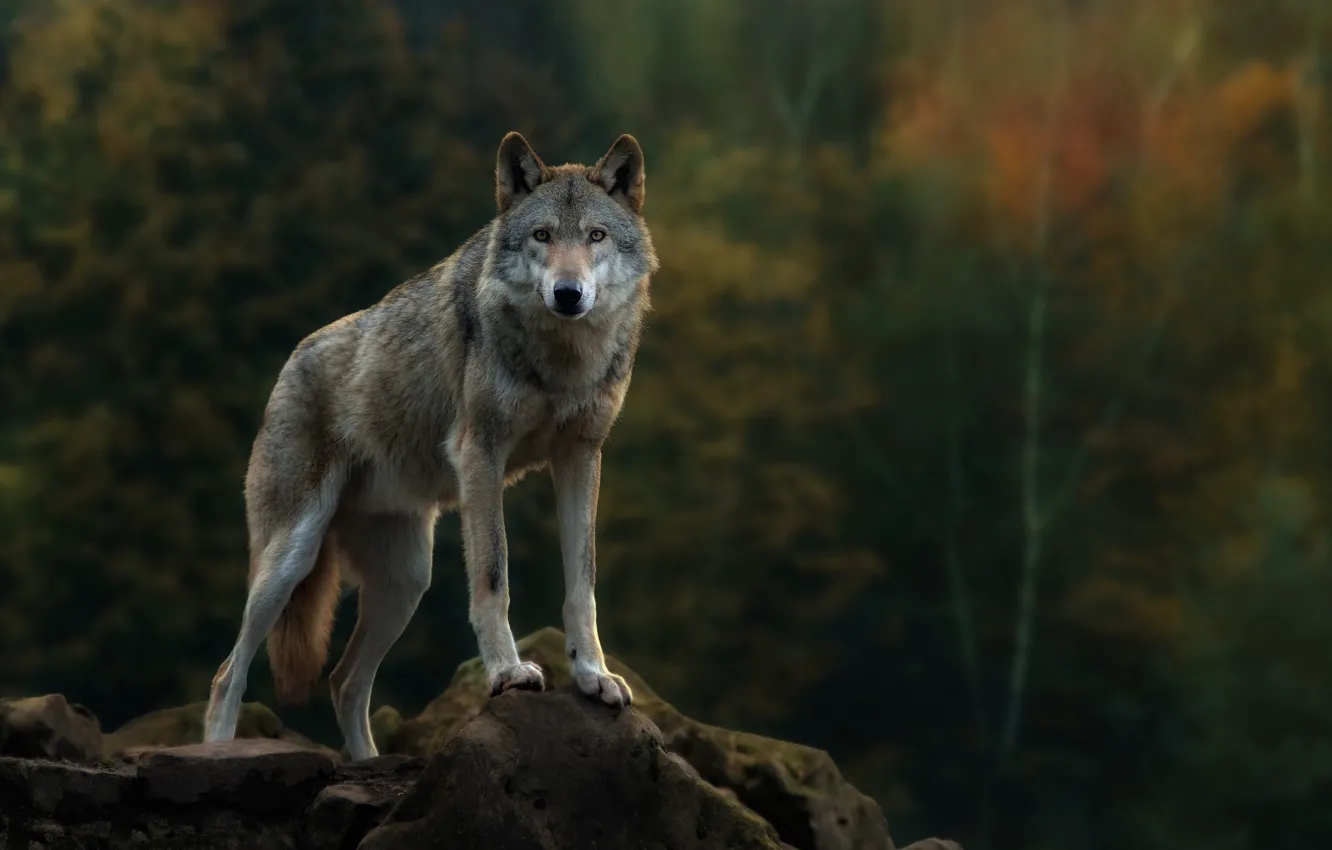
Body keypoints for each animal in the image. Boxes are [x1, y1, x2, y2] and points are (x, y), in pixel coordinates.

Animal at [202, 132, 658, 761]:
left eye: (596, 236)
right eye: (542, 235)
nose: (568, 294)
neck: (561, 360)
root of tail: (291, 362)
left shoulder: (581, 457)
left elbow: (581, 586)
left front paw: (592, 676)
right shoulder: (480, 455)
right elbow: (494, 578)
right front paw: (508, 672)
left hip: (407, 581)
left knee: (344, 682)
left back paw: (368, 762)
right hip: (291, 558)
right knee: (229, 674)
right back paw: (217, 751)